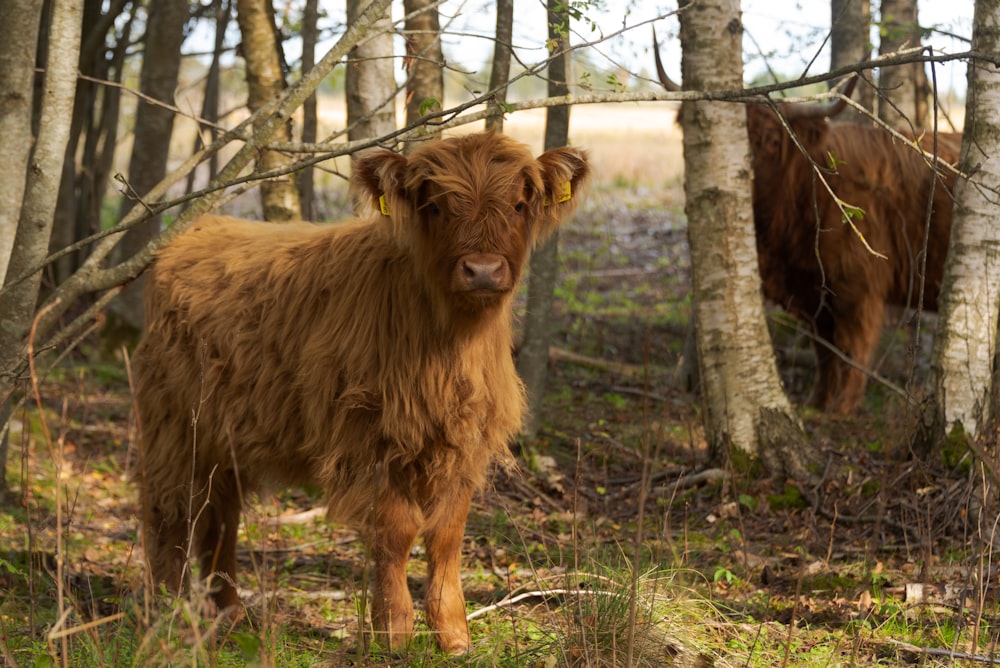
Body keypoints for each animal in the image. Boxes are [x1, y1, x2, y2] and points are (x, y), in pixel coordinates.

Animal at [131, 130, 584, 652]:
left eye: (517, 204)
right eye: (436, 206)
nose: (484, 270)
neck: (451, 343)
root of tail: (194, 231)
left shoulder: (464, 441)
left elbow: (447, 534)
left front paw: (453, 634)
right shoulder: (370, 436)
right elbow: (398, 530)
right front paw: (394, 632)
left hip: (224, 440)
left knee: (220, 513)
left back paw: (229, 613)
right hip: (173, 426)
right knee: (169, 510)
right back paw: (168, 613)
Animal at [656, 37, 960, 412]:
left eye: (773, 141)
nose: (743, 178)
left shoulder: (858, 290)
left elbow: (851, 352)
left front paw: (840, 410)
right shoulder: (814, 293)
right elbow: (824, 352)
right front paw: (818, 401)